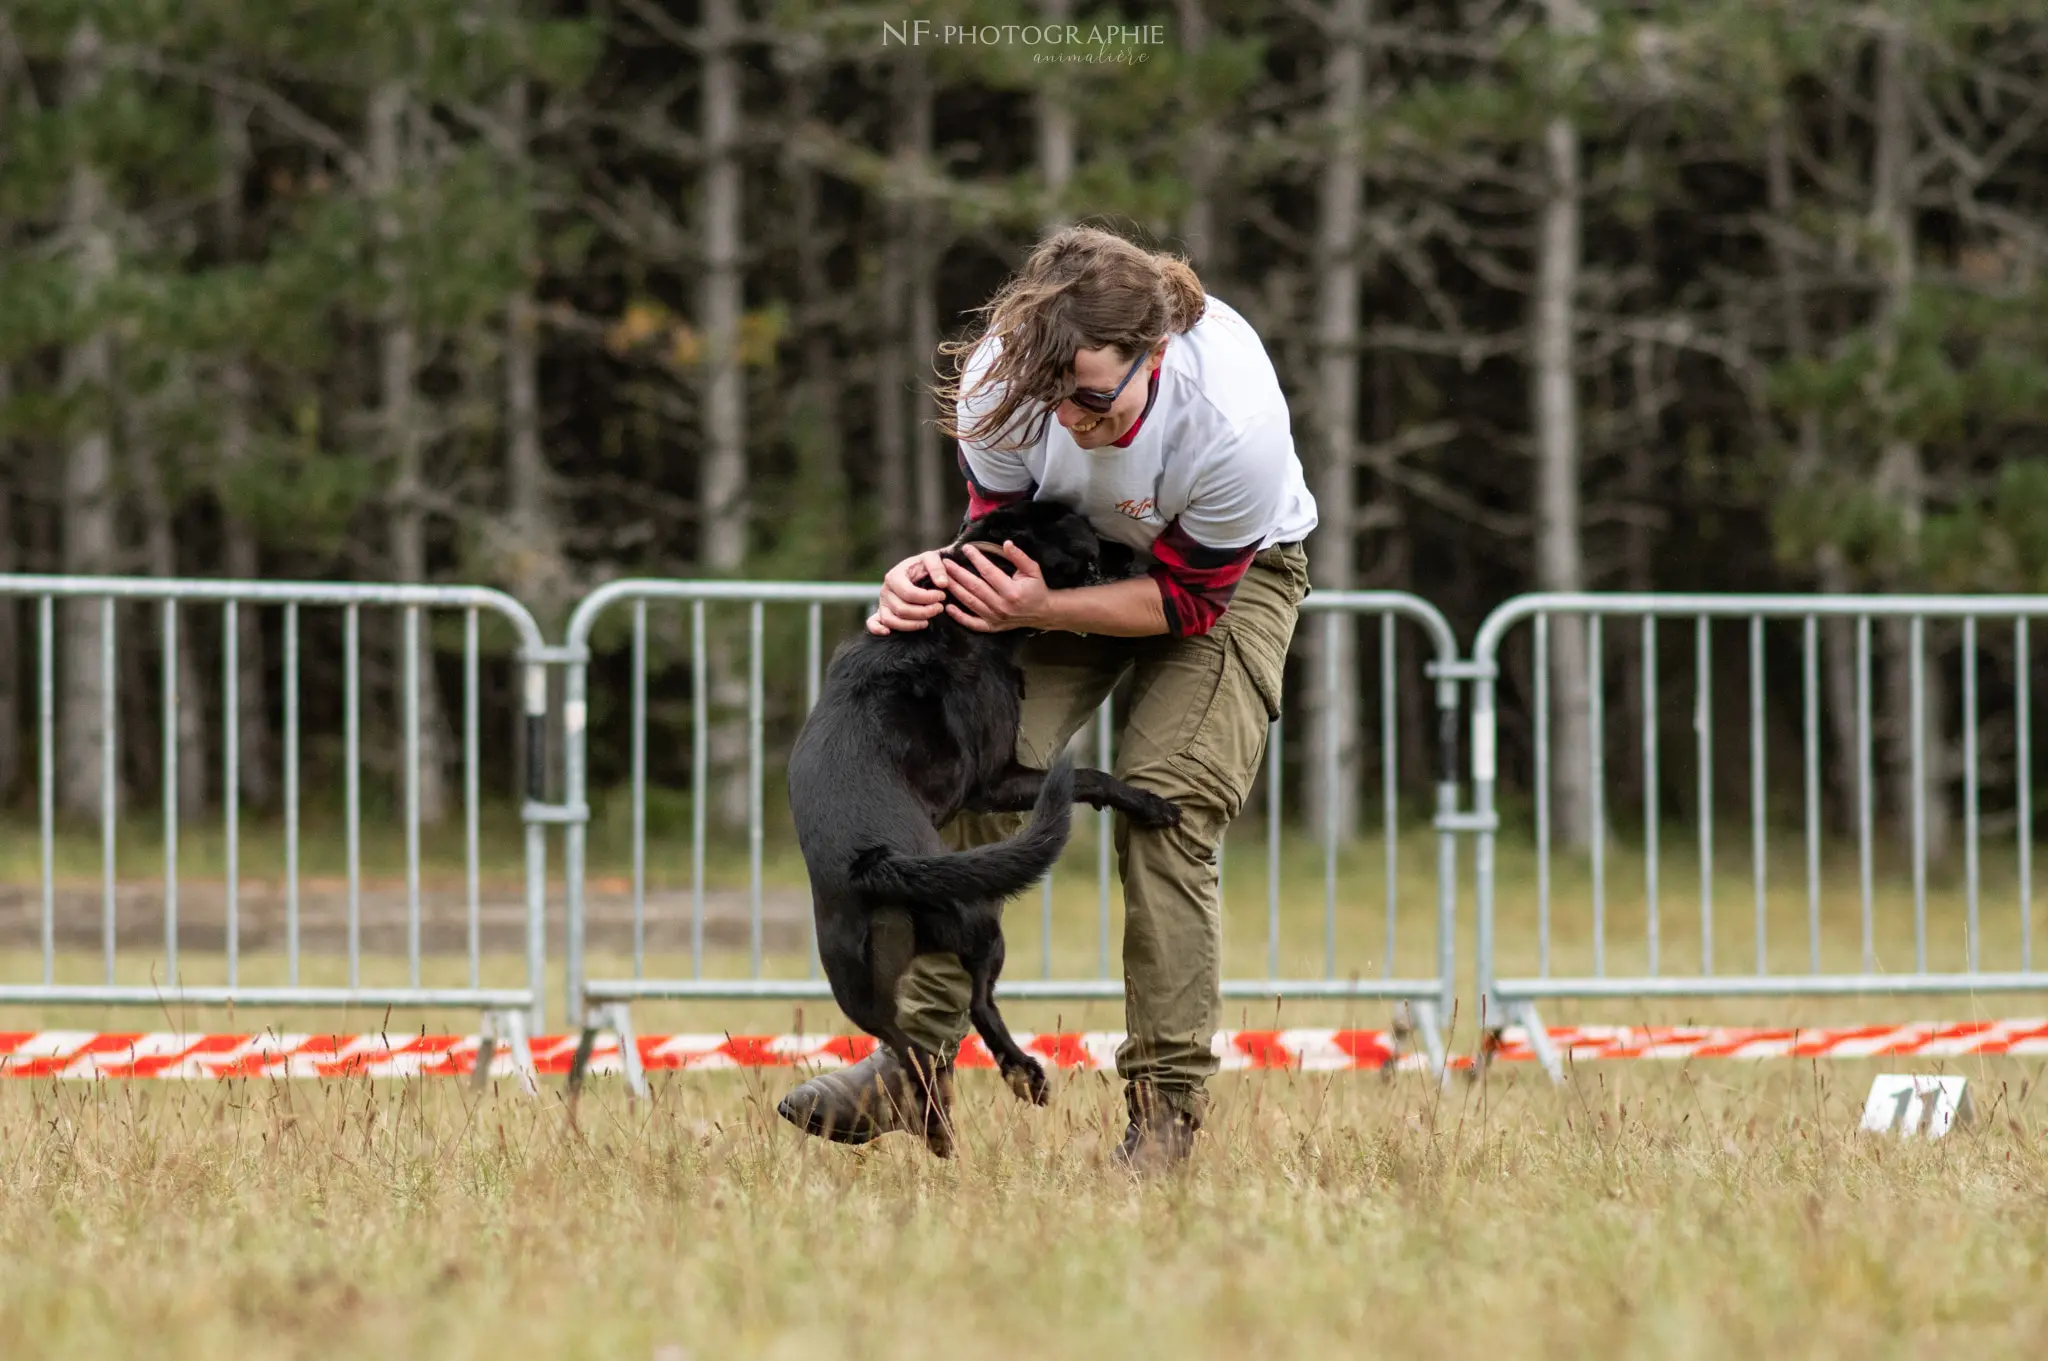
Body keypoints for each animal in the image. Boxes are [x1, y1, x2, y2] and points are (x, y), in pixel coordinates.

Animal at [786, 493, 1179, 1154]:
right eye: (1093, 548)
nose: (1146, 557)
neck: (955, 607)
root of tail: (875, 863)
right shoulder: (995, 780)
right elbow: (1090, 777)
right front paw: (1148, 803)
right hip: (982, 919)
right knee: (976, 1005)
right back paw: (1022, 1075)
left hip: (857, 983)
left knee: (908, 1046)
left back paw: (938, 1126)